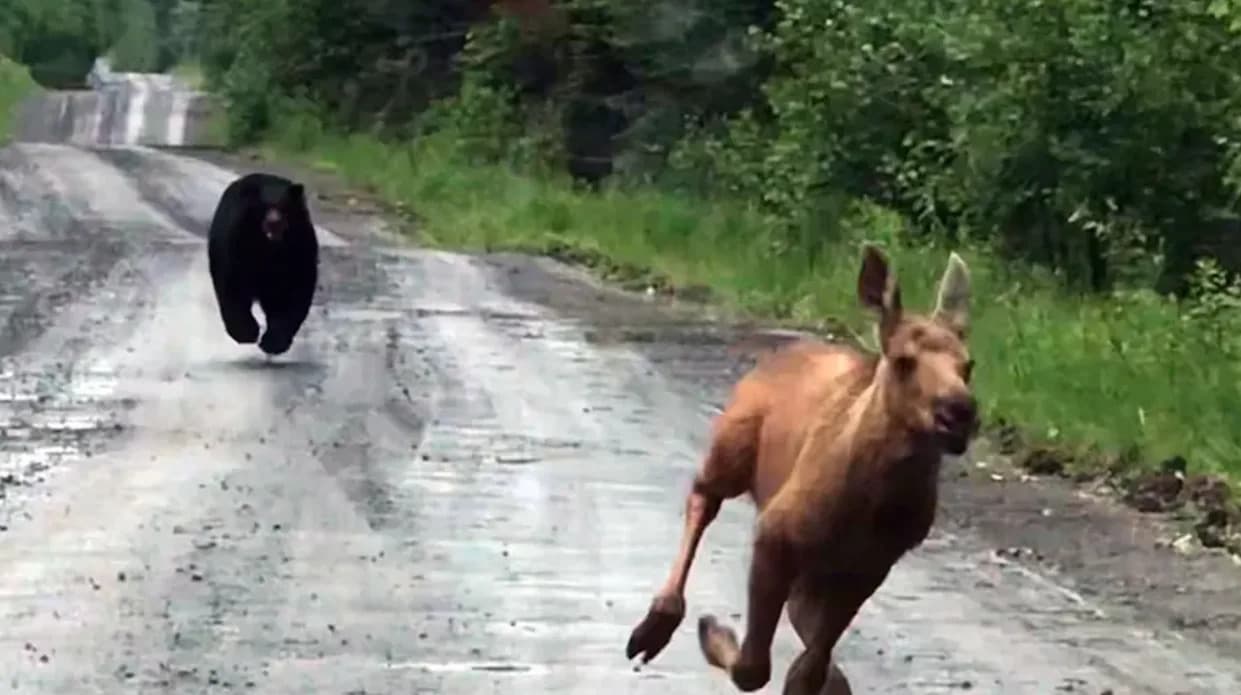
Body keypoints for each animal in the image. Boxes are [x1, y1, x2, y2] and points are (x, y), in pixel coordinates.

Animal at [206, 172, 319, 356]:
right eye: (264, 207)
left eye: (284, 206)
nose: (274, 222)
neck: (270, 248)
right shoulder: (237, 244)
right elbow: (233, 286)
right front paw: (246, 332)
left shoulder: (299, 250)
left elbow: (294, 292)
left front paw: (274, 342)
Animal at [624, 243, 977, 694]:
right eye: (903, 360)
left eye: (969, 365)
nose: (959, 412)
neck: (872, 503)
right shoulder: (775, 533)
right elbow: (755, 668)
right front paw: (716, 633)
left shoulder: (871, 566)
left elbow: (810, 667)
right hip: (732, 446)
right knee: (704, 496)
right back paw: (658, 624)